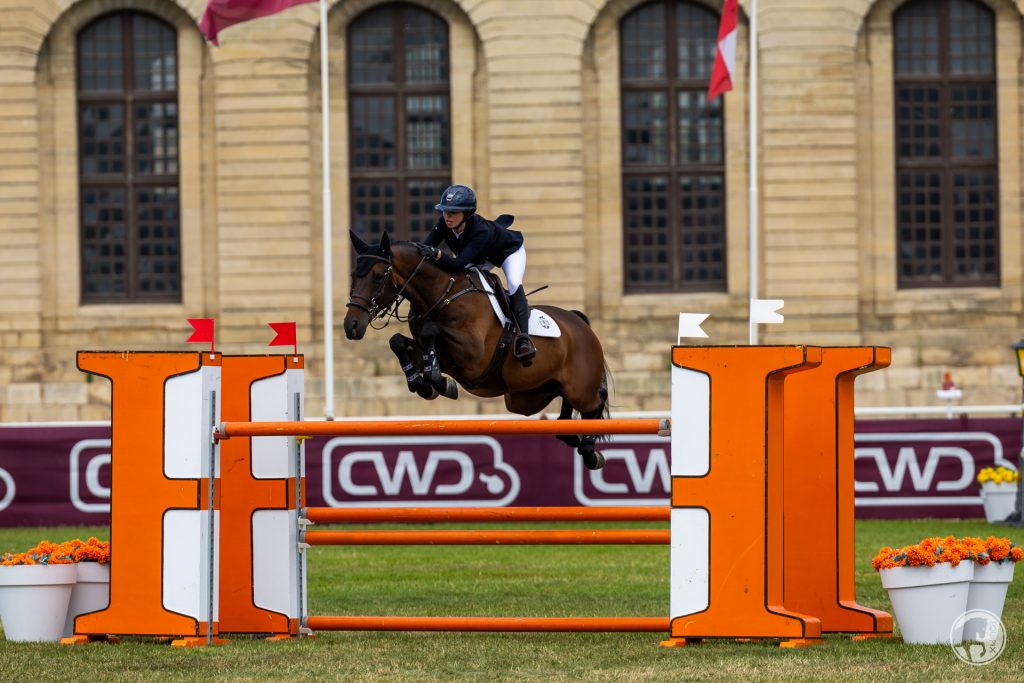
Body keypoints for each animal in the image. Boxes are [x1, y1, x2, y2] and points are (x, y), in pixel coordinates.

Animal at [344, 231, 610, 471]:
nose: (351, 326)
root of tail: (580, 323)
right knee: (565, 409)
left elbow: (431, 332)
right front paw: (424, 384)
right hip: (526, 397)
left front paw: (439, 382)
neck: (443, 294)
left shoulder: (473, 355)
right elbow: (398, 342)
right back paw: (573, 437)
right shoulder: (435, 351)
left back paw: (590, 451)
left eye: (379, 276)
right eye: (353, 276)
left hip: (578, 387)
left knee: (596, 400)